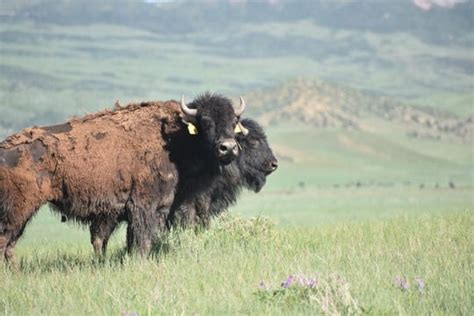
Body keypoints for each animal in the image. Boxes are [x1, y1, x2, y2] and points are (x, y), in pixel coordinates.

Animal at [0, 92, 250, 260]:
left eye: (234, 122)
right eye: (205, 122)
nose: (228, 148)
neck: (177, 138)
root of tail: (4, 148)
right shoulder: (144, 206)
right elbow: (143, 240)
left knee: (10, 245)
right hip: (18, 211)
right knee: (6, 241)